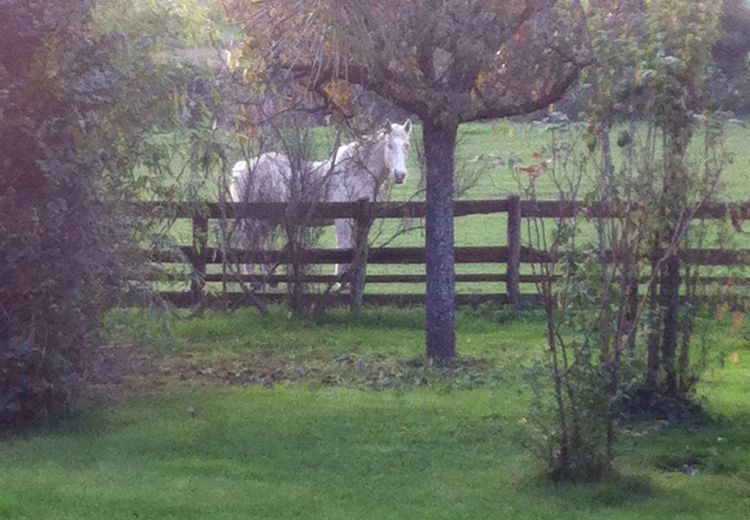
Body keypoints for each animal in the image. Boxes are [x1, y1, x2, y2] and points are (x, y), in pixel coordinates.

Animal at [232, 120, 414, 282]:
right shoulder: (343, 221)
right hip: (260, 221)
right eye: (389, 145)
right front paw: (339, 281)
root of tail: (244, 167)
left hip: (264, 223)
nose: (400, 175)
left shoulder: (360, 221)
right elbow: (342, 249)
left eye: (407, 145)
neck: (355, 172)